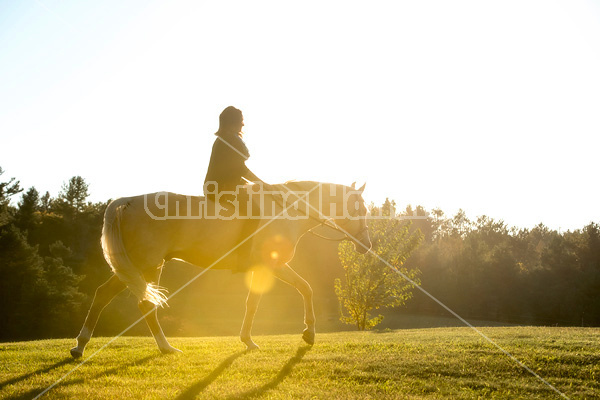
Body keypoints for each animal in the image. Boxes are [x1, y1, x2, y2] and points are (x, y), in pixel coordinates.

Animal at [70, 180, 370, 356]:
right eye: (362, 209)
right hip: (147, 266)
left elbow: (253, 303)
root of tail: (126, 202)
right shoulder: (274, 266)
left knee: (104, 295)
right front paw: (308, 333)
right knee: (141, 304)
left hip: (138, 268)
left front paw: (248, 340)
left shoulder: (262, 269)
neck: (288, 210)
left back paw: (81, 346)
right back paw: (164, 347)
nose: (366, 245)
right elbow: (305, 289)